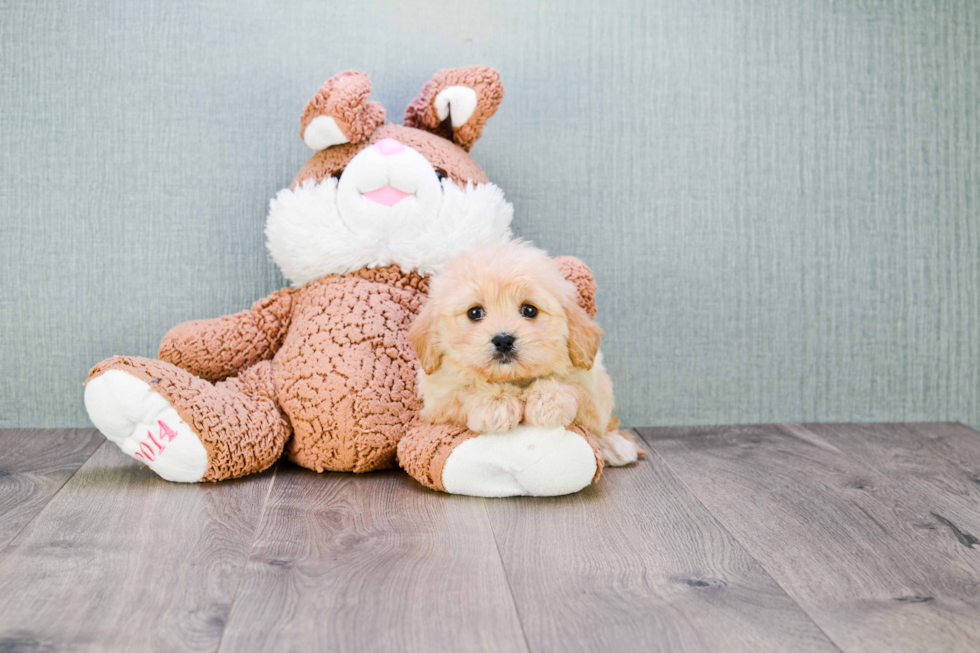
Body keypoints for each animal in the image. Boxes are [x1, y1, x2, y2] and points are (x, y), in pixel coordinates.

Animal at [410, 239, 640, 464]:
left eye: (529, 310)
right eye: (474, 312)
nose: (503, 340)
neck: (514, 379)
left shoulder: (592, 392)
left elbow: (574, 389)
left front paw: (547, 400)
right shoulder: (437, 403)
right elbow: (462, 393)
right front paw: (495, 404)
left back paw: (615, 446)